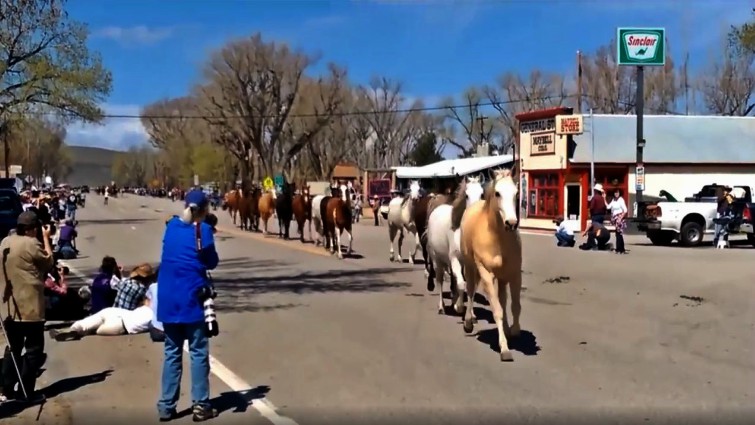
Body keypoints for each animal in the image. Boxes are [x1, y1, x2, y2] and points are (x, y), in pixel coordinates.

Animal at [425, 176, 484, 315]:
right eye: (466, 195)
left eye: (482, 194)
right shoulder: (454, 259)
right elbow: (462, 284)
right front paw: (460, 307)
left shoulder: (471, 264)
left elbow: (471, 287)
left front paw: (471, 313)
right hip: (437, 260)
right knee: (440, 280)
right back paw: (442, 307)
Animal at [459, 169, 522, 362]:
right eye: (497, 193)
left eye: (516, 193)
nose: (511, 223)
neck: (498, 239)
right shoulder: (486, 274)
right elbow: (497, 310)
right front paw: (505, 349)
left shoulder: (514, 274)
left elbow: (514, 305)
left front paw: (514, 331)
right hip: (470, 267)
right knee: (471, 290)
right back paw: (468, 321)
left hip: (501, 277)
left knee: (502, 297)